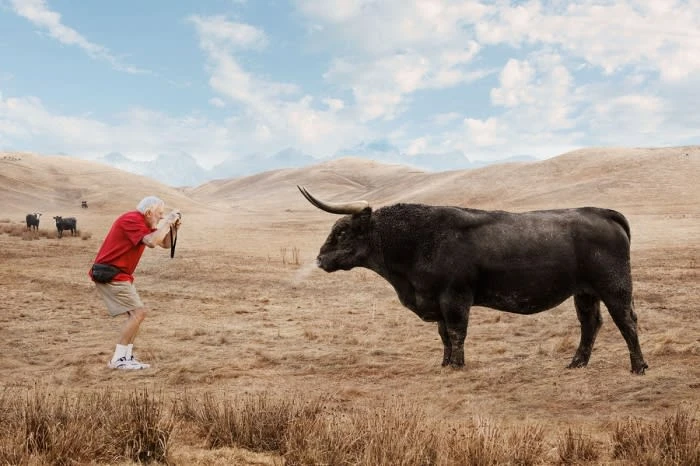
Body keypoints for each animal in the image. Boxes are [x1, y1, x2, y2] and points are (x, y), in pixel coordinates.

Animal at [298, 186, 648, 374]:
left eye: (342, 231)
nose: (320, 258)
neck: (418, 240)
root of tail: (601, 212)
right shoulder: (437, 301)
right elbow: (443, 335)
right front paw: (444, 363)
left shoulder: (455, 298)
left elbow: (456, 333)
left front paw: (457, 364)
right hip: (584, 292)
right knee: (590, 324)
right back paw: (577, 363)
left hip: (614, 286)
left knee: (626, 321)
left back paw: (638, 366)